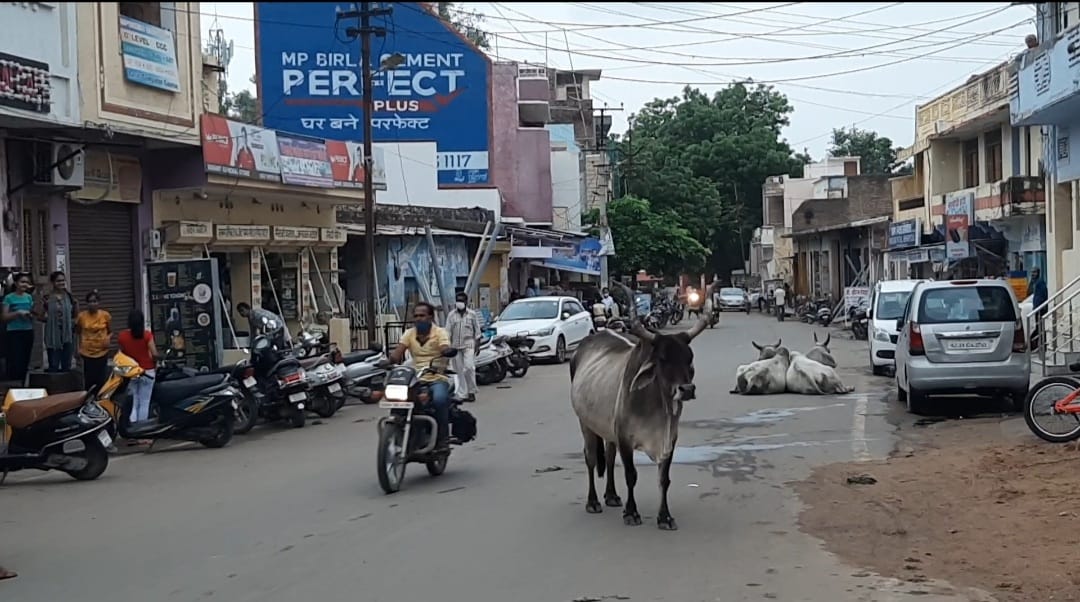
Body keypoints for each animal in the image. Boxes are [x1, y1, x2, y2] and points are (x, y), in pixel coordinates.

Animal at [570, 281, 712, 529]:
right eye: (663, 359)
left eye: (689, 357)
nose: (686, 389)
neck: (655, 406)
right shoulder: (625, 438)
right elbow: (631, 475)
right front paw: (631, 513)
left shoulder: (669, 439)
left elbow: (664, 479)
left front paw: (664, 517)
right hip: (585, 423)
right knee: (590, 458)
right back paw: (593, 502)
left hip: (608, 429)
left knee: (608, 457)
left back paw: (612, 496)